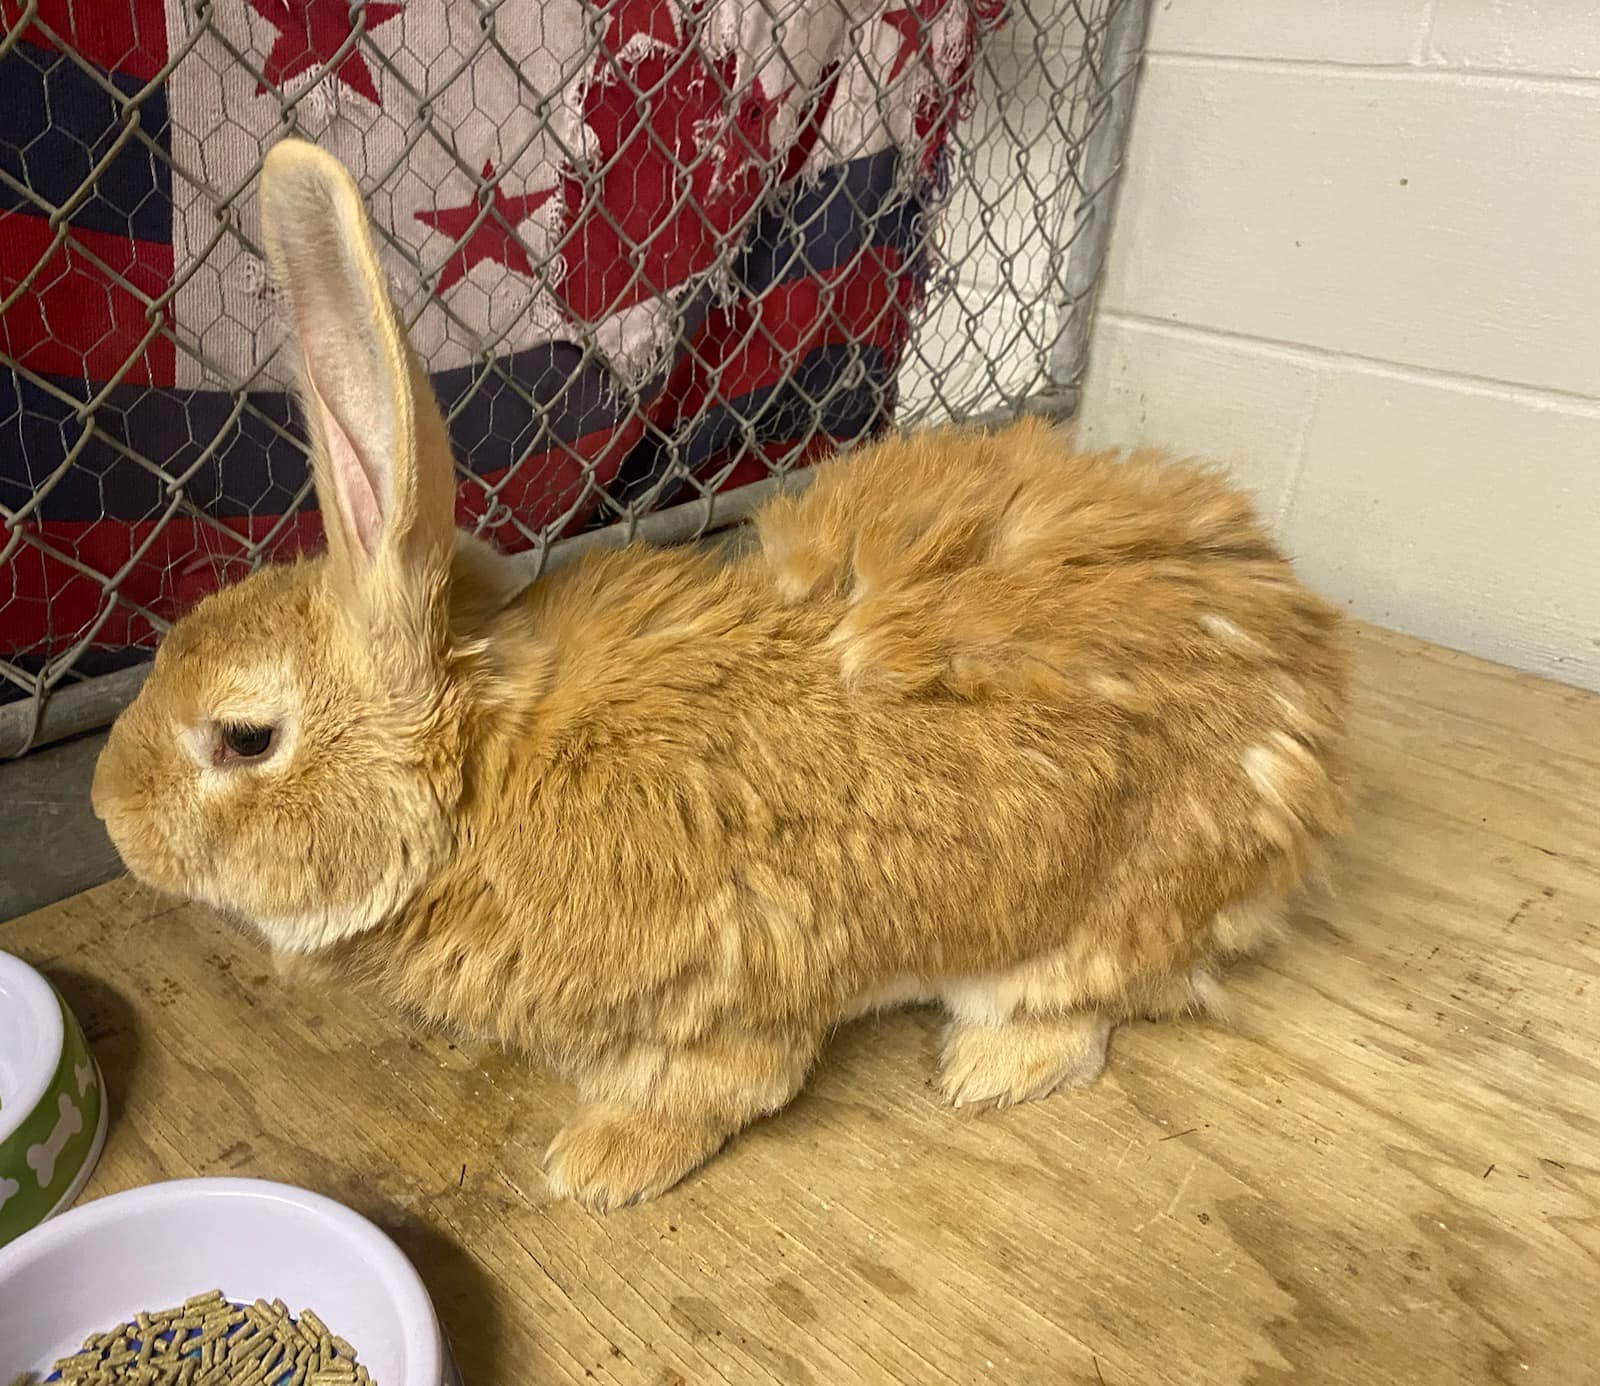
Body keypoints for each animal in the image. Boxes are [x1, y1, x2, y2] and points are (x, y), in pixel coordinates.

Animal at [91, 138, 1350, 1212]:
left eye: (244, 738)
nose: (110, 815)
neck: (486, 775)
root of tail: (1310, 681)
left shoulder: (723, 1008)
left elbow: (710, 1092)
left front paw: (596, 1167)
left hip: (1107, 913)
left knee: (1099, 1000)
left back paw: (989, 1067)